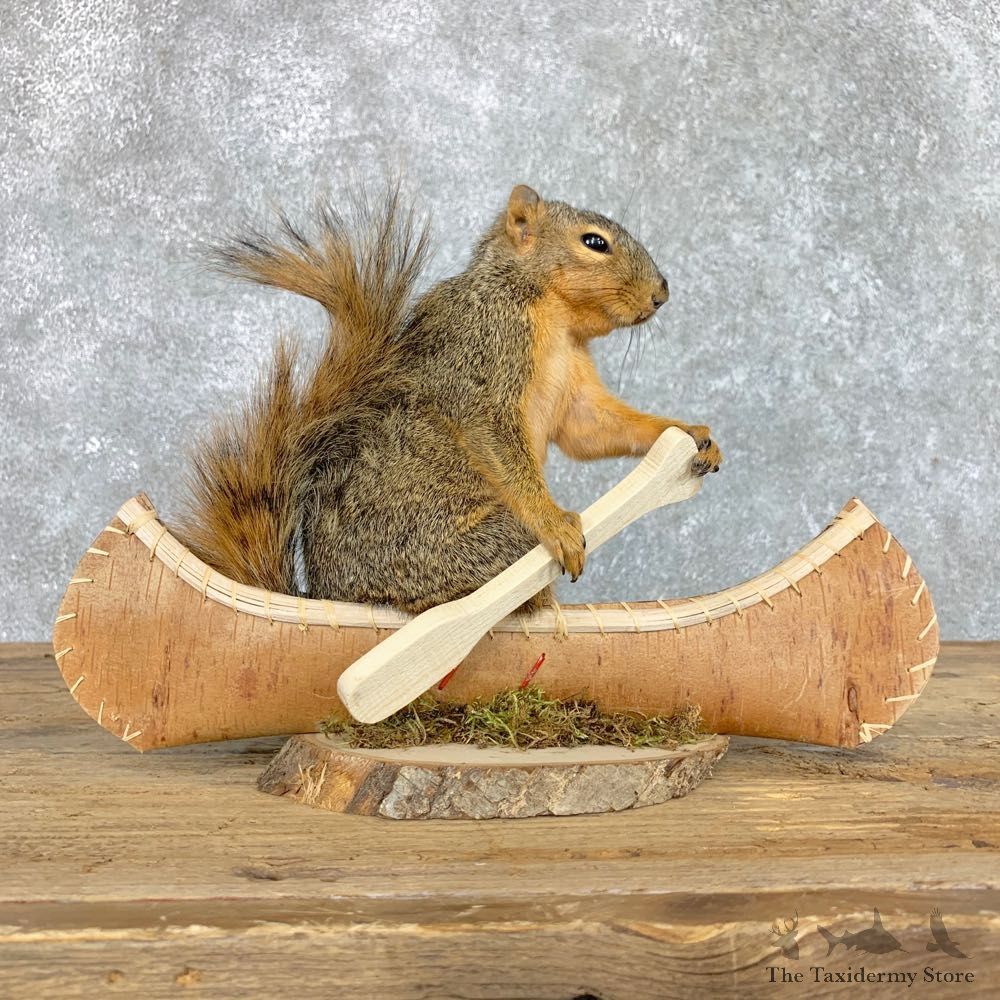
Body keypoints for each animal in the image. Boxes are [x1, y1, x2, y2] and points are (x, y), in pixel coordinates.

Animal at [178, 183, 722, 614]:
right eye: (594, 242)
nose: (662, 293)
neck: (554, 318)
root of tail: (336, 596)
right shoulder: (482, 354)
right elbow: (494, 434)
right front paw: (557, 524)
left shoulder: (575, 390)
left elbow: (592, 429)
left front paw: (690, 435)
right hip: (468, 549)